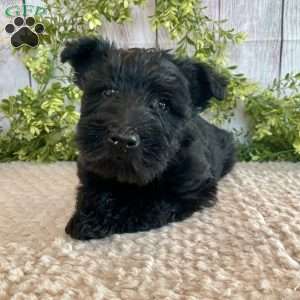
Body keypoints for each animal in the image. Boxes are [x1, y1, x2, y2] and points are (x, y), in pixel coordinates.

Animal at [60, 37, 234, 240]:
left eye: (163, 104)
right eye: (108, 92)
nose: (122, 140)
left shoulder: (193, 188)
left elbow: (151, 203)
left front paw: (103, 219)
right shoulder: (91, 168)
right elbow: (92, 191)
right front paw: (89, 217)